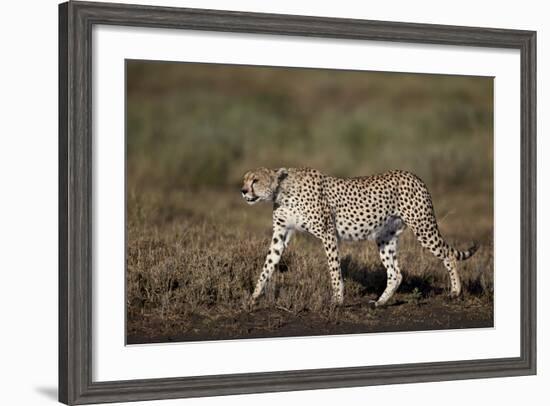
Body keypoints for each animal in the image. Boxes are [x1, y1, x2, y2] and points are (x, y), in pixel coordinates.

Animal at [242, 168, 478, 308]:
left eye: (255, 180)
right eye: (245, 180)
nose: (243, 191)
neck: (282, 191)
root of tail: (413, 175)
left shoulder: (328, 233)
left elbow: (334, 269)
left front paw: (337, 300)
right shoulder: (281, 234)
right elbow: (268, 264)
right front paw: (254, 296)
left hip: (423, 227)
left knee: (448, 255)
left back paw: (455, 291)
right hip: (386, 238)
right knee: (396, 273)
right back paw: (380, 302)